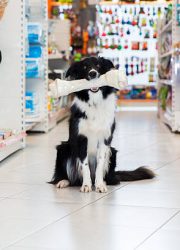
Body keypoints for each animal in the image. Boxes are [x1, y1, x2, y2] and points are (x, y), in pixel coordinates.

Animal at [49, 57, 155, 193]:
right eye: (85, 67)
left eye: (98, 65)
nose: (93, 73)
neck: (95, 103)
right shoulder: (81, 139)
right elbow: (85, 165)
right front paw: (86, 185)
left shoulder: (105, 139)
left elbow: (100, 164)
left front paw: (99, 185)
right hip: (63, 148)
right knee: (68, 176)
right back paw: (63, 181)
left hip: (112, 152)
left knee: (111, 179)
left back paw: (104, 181)